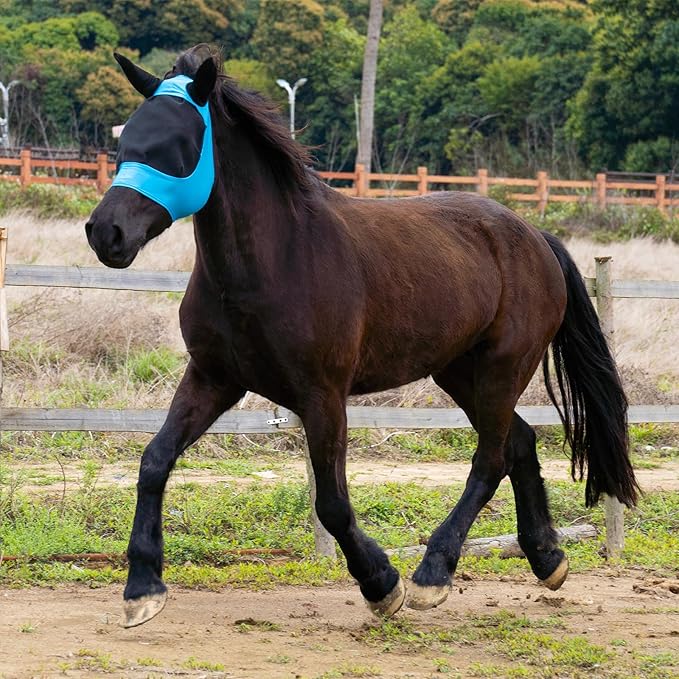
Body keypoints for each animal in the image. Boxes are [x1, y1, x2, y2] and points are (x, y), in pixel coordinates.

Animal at [86, 44, 638, 629]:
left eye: (179, 144)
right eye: (126, 141)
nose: (105, 232)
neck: (274, 261)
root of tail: (534, 236)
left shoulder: (322, 396)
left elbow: (331, 502)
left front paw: (381, 583)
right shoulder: (214, 379)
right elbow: (154, 461)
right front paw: (142, 588)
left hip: (502, 369)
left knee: (490, 460)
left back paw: (432, 574)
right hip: (461, 373)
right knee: (519, 444)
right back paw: (547, 559)